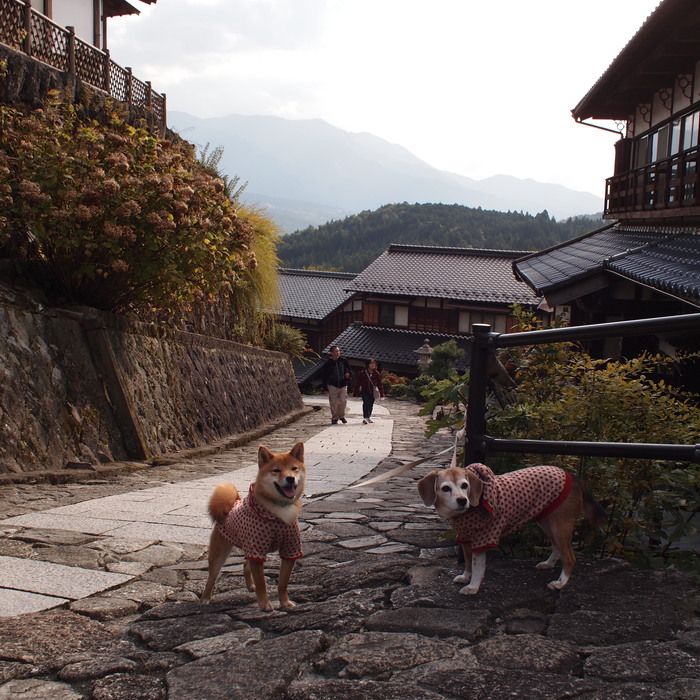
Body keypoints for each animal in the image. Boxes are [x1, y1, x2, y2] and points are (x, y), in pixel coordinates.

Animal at [198, 442, 304, 612]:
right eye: (276, 470)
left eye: (294, 468)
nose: (290, 478)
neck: (279, 510)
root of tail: (232, 504)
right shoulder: (257, 549)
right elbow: (262, 583)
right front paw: (265, 604)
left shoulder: (290, 549)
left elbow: (283, 582)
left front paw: (285, 602)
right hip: (220, 552)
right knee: (212, 576)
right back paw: (205, 598)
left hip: (251, 550)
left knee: (245, 565)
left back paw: (250, 586)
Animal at [416, 462, 608, 592]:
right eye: (445, 488)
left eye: (465, 485)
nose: (463, 500)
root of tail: (572, 476)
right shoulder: (465, 538)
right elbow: (468, 562)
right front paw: (465, 577)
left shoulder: (483, 538)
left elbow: (478, 566)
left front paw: (473, 586)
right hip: (548, 522)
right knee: (557, 548)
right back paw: (548, 564)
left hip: (560, 525)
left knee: (569, 557)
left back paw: (560, 582)